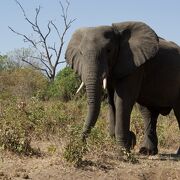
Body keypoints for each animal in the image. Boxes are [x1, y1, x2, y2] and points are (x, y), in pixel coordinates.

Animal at [65, 21, 180, 155]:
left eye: (109, 50)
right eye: (81, 53)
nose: (80, 146)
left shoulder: (134, 66)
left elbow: (122, 100)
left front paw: (122, 151)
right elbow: (111, 101)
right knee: (147, 113)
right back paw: (146, 151)